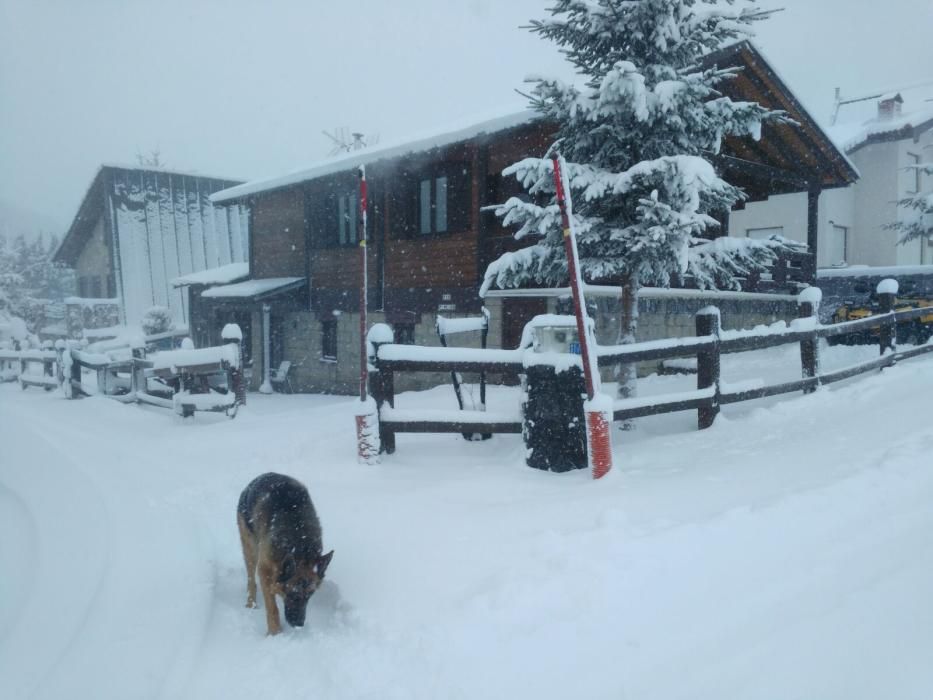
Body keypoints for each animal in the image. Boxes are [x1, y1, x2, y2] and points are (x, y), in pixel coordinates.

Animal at [237, 474, 334, 636]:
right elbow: (272, 607)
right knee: (251, 578)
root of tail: (262, 476)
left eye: (310, 594)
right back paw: (251, 603)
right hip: (250, 549)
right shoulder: (264, 570)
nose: (299, 624)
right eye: (293, 594)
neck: (299, 546)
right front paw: (275, 633)